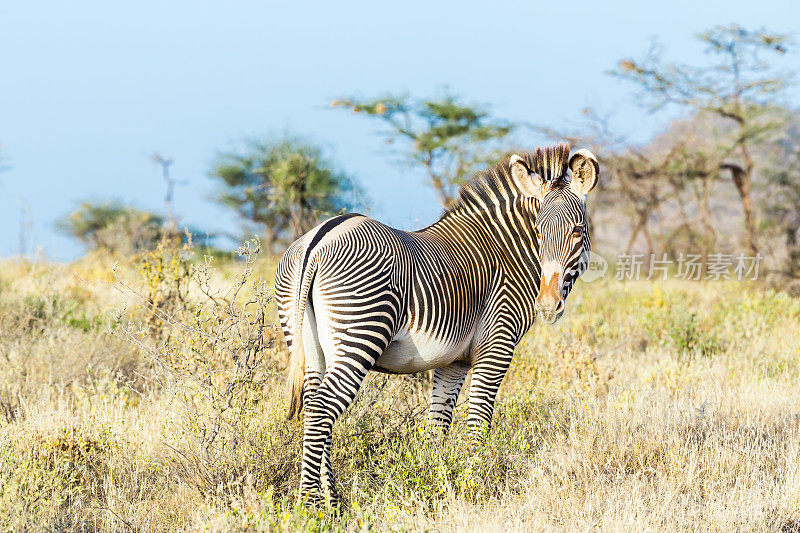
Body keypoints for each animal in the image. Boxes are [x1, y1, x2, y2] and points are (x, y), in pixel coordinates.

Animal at [278, 142, 596, 502]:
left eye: (577, 231)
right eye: (539, 232)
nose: (547, 304)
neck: (508, 252)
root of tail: (318, 240)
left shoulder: (454, 361)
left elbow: (438, 423)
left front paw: (435, 478)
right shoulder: (496, 348)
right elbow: (478, 420)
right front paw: (476, 482)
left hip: (307, 342)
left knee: (314, 405)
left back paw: (332, 501)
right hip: (360, 333)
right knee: (322, 407)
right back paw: (311, 502)